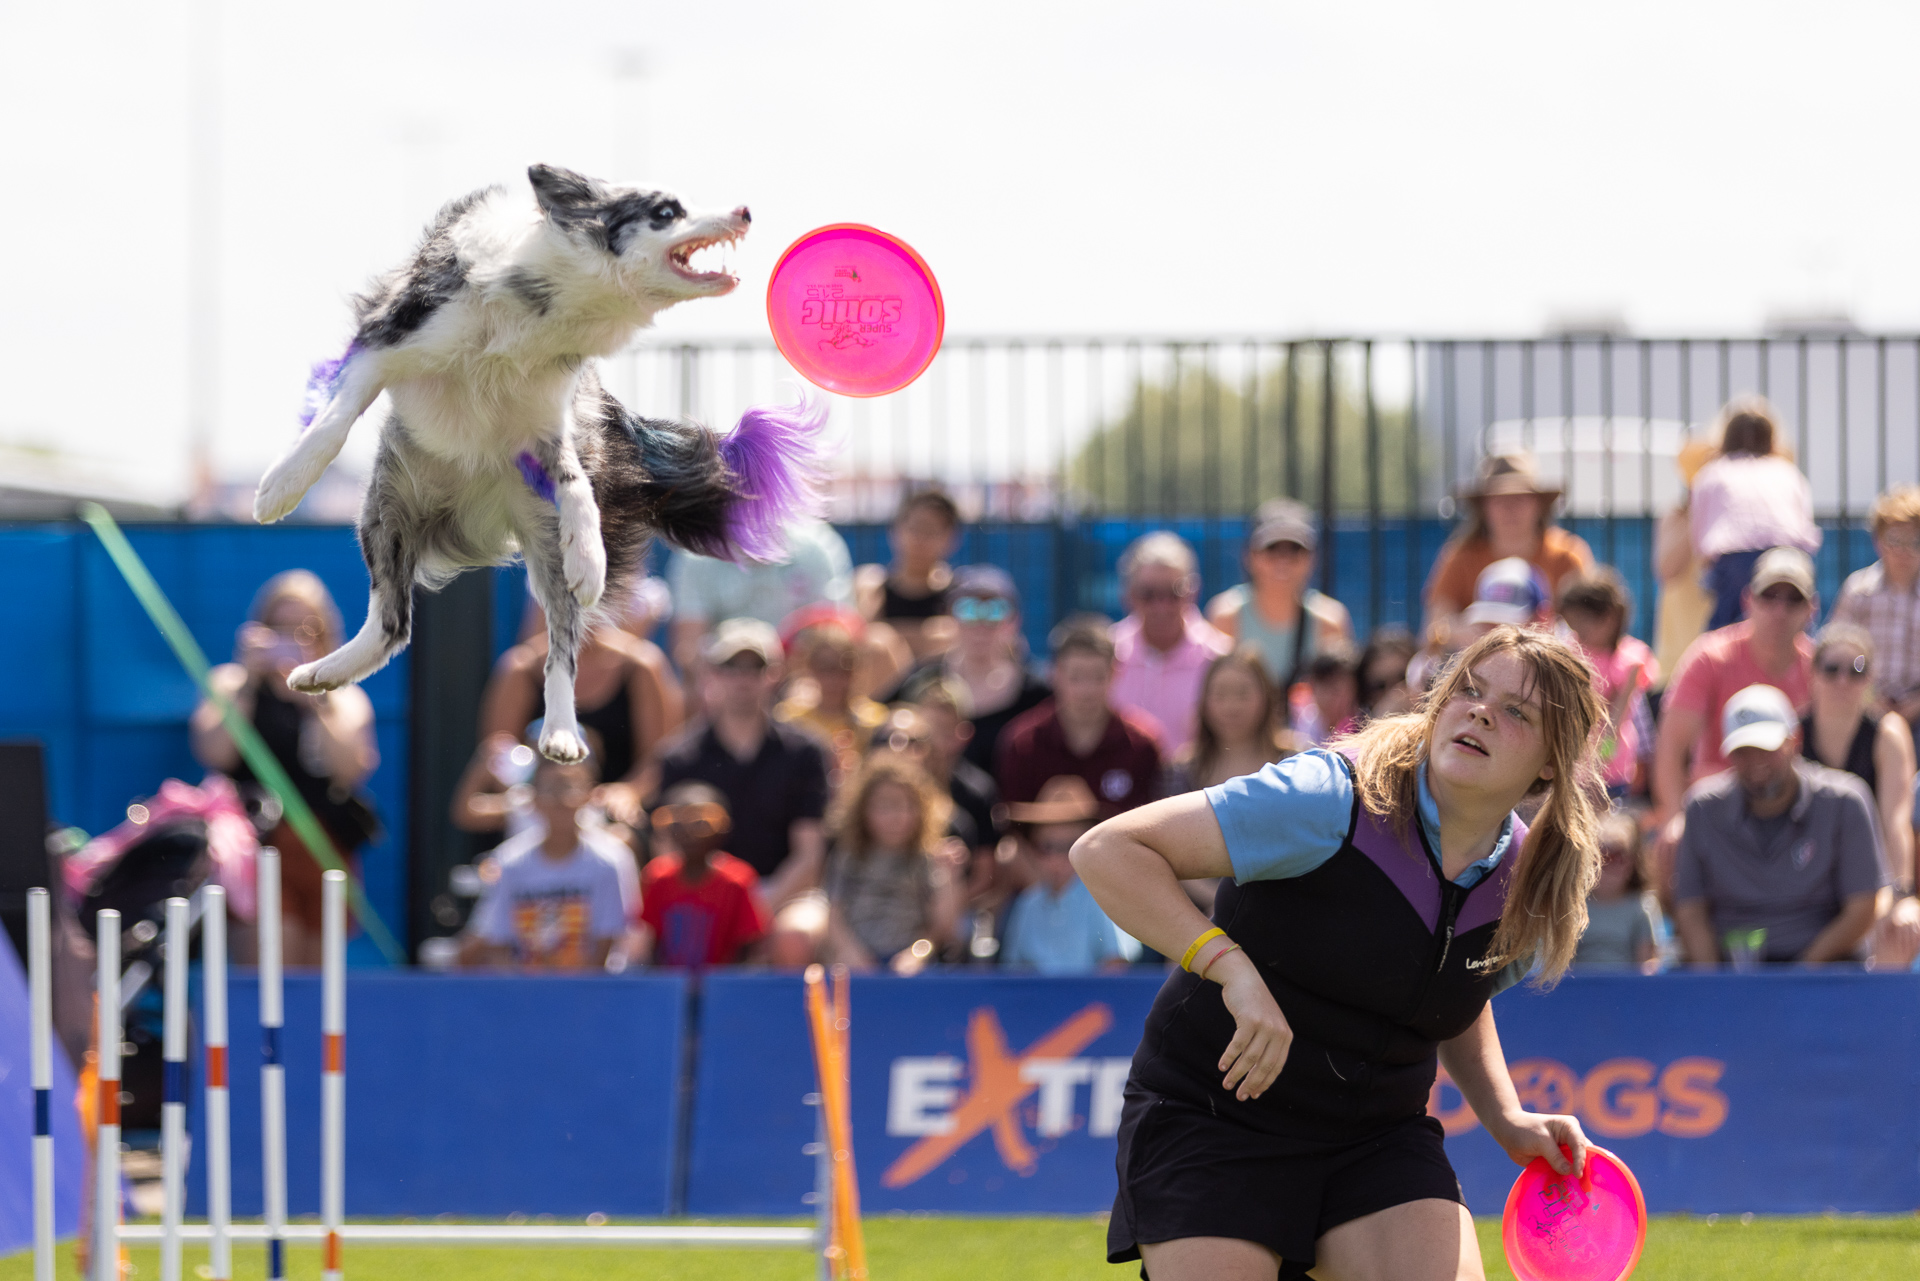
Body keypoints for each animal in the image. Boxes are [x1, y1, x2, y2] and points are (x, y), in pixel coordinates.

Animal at [253, 164, 825, 763]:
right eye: (667, 212)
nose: (744, 211)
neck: (549, 305)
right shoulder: (390, 335)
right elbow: (334, 420)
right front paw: (282, 485)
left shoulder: (550, 423)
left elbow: (576, 489)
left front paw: (591, 559)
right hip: (386, 509)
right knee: (391, 620)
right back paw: (323, 671)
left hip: (539, 544)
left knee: (557, 648)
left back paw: (561, 733)